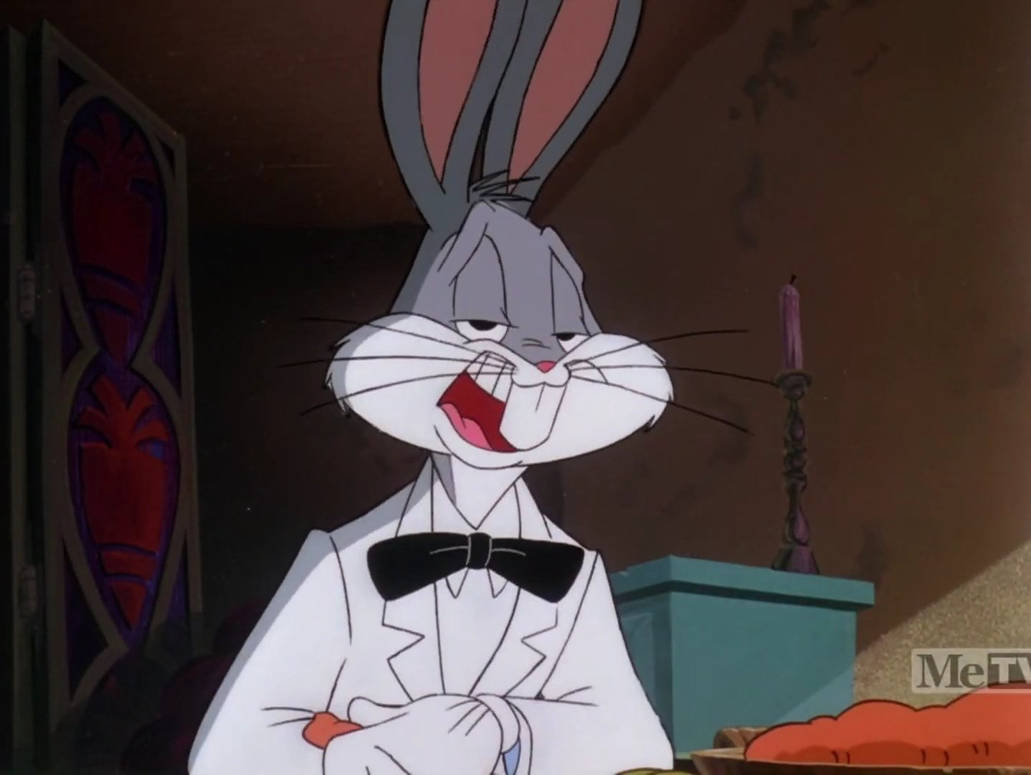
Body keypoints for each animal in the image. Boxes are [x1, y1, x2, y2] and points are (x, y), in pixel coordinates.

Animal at [189, 1, 676, 773]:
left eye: (569, 332)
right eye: (480, 320)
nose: (543, 360)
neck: (474, 535)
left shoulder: (594, 600)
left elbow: (616, 721)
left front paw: (472, 720)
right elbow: (263, 727)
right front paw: (436, 728)